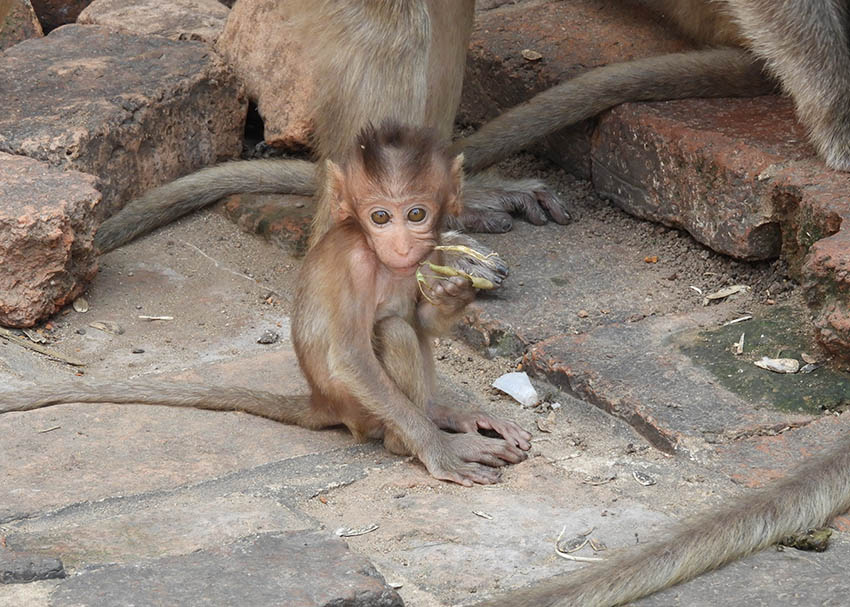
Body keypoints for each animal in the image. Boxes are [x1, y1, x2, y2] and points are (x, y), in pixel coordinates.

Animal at [0, 124, 528, 490]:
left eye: (416, 214)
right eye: (380, 217)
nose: (399, 243)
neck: (382, 259)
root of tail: (320, 401)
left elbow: (425, 318)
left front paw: (456, 292)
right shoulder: (354, 263)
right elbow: (351, 357)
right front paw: (441, 451)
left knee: (406, 328)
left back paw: (444, 413)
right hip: (359, 412)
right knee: (393, 332)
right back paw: (416, 438)